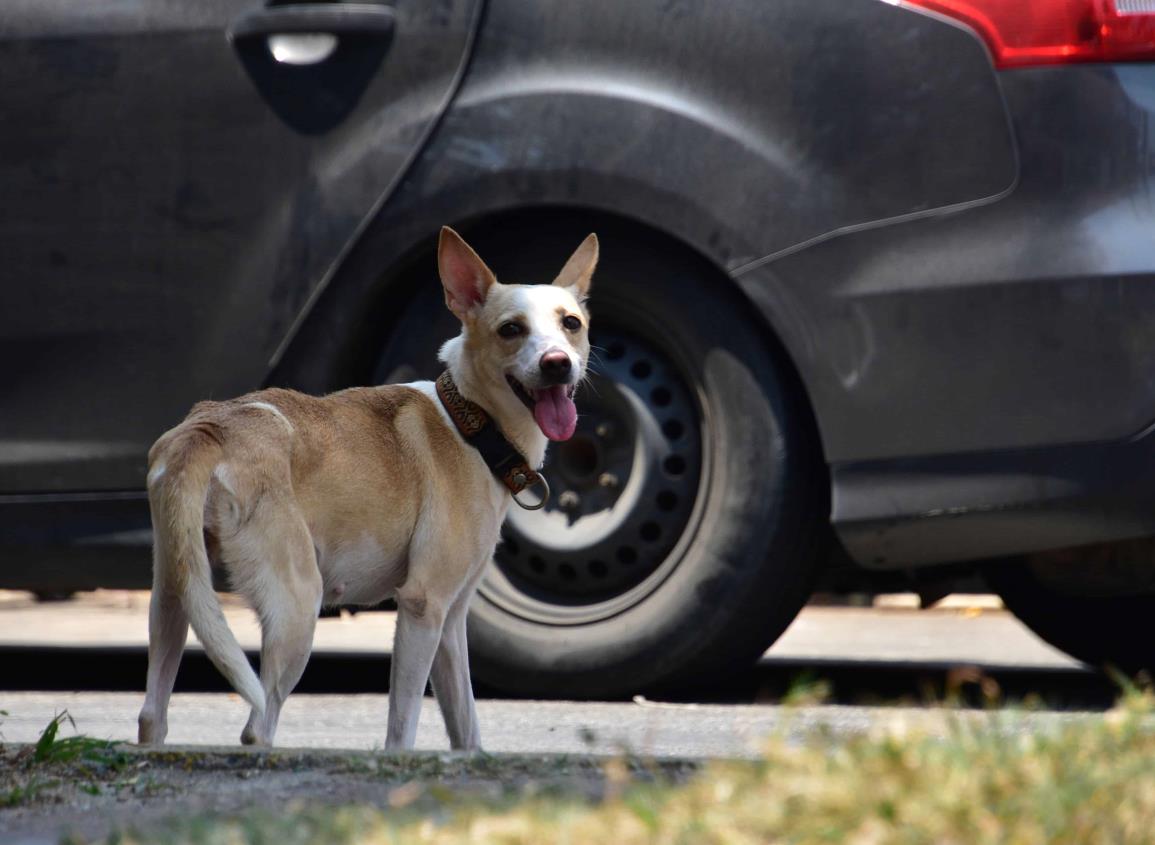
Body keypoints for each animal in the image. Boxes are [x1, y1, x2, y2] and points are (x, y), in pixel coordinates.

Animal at [135, 227, 595, 748]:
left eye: (572, 323)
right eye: (510, 329)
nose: (557, 363)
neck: (472, 423)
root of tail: (210, 428)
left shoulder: (451, 621)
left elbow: (467, 729)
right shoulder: (422, 607)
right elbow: (402, 730)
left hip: (175, 594)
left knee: (152, 715)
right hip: (297, 607)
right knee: (257, 728)